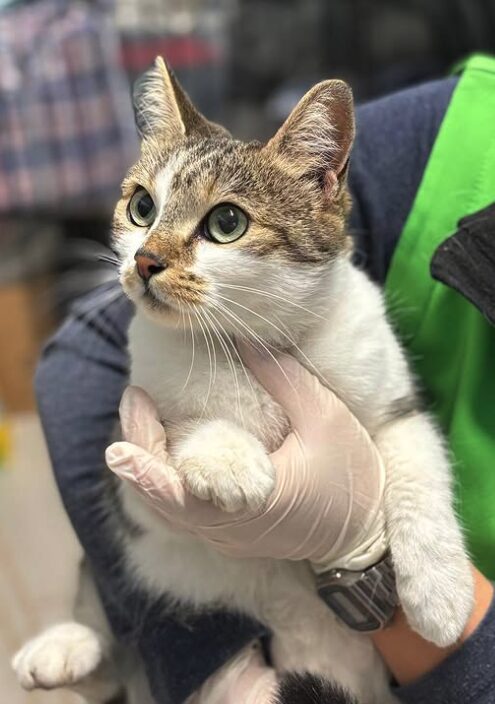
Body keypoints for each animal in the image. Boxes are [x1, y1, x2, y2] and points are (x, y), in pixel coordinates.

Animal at [13, 60, 474, 704]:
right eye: (141, 207)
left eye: (226, 222)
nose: (145, 260)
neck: (246, 339)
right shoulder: (132, 481)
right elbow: (164, 454)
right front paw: (226, 457)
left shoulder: (393, 403)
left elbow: (417, 467)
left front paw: (440, 591)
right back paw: (67, 647)